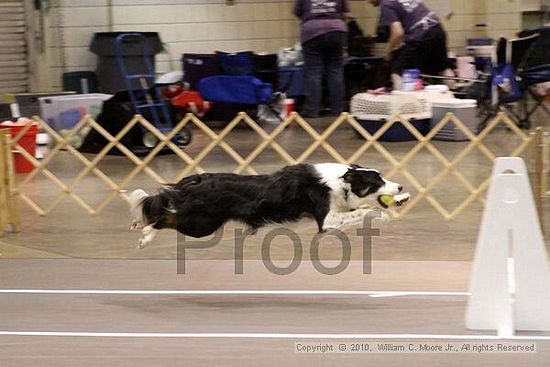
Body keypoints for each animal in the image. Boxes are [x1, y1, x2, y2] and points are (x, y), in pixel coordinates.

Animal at [130, 163, 410, 247]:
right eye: (377, 181)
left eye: (383, 177)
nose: (399, 187)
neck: (341, 180)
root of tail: (197, 179)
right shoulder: (327, 220)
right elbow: (368, 209)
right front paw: (383, 213)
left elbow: (362, 209)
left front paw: (400, 200)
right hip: (202, 224)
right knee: (164, 217)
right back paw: (145, 234)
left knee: (166, 210)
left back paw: (137, 223)